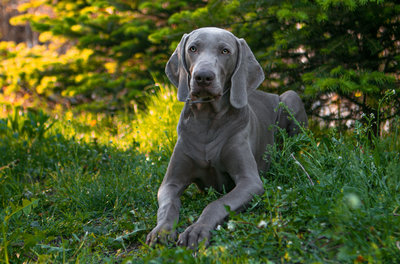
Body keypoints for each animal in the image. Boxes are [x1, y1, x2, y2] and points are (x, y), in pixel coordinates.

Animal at [146, 27, 306, 249]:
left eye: (225, 51)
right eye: (193, 48)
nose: (203, 77)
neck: (207, 121)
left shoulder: (249, 182)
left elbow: (216, 204)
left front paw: (197, 230)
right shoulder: (170, 183)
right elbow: (168, 206)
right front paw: (161, 230)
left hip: (291, 97)